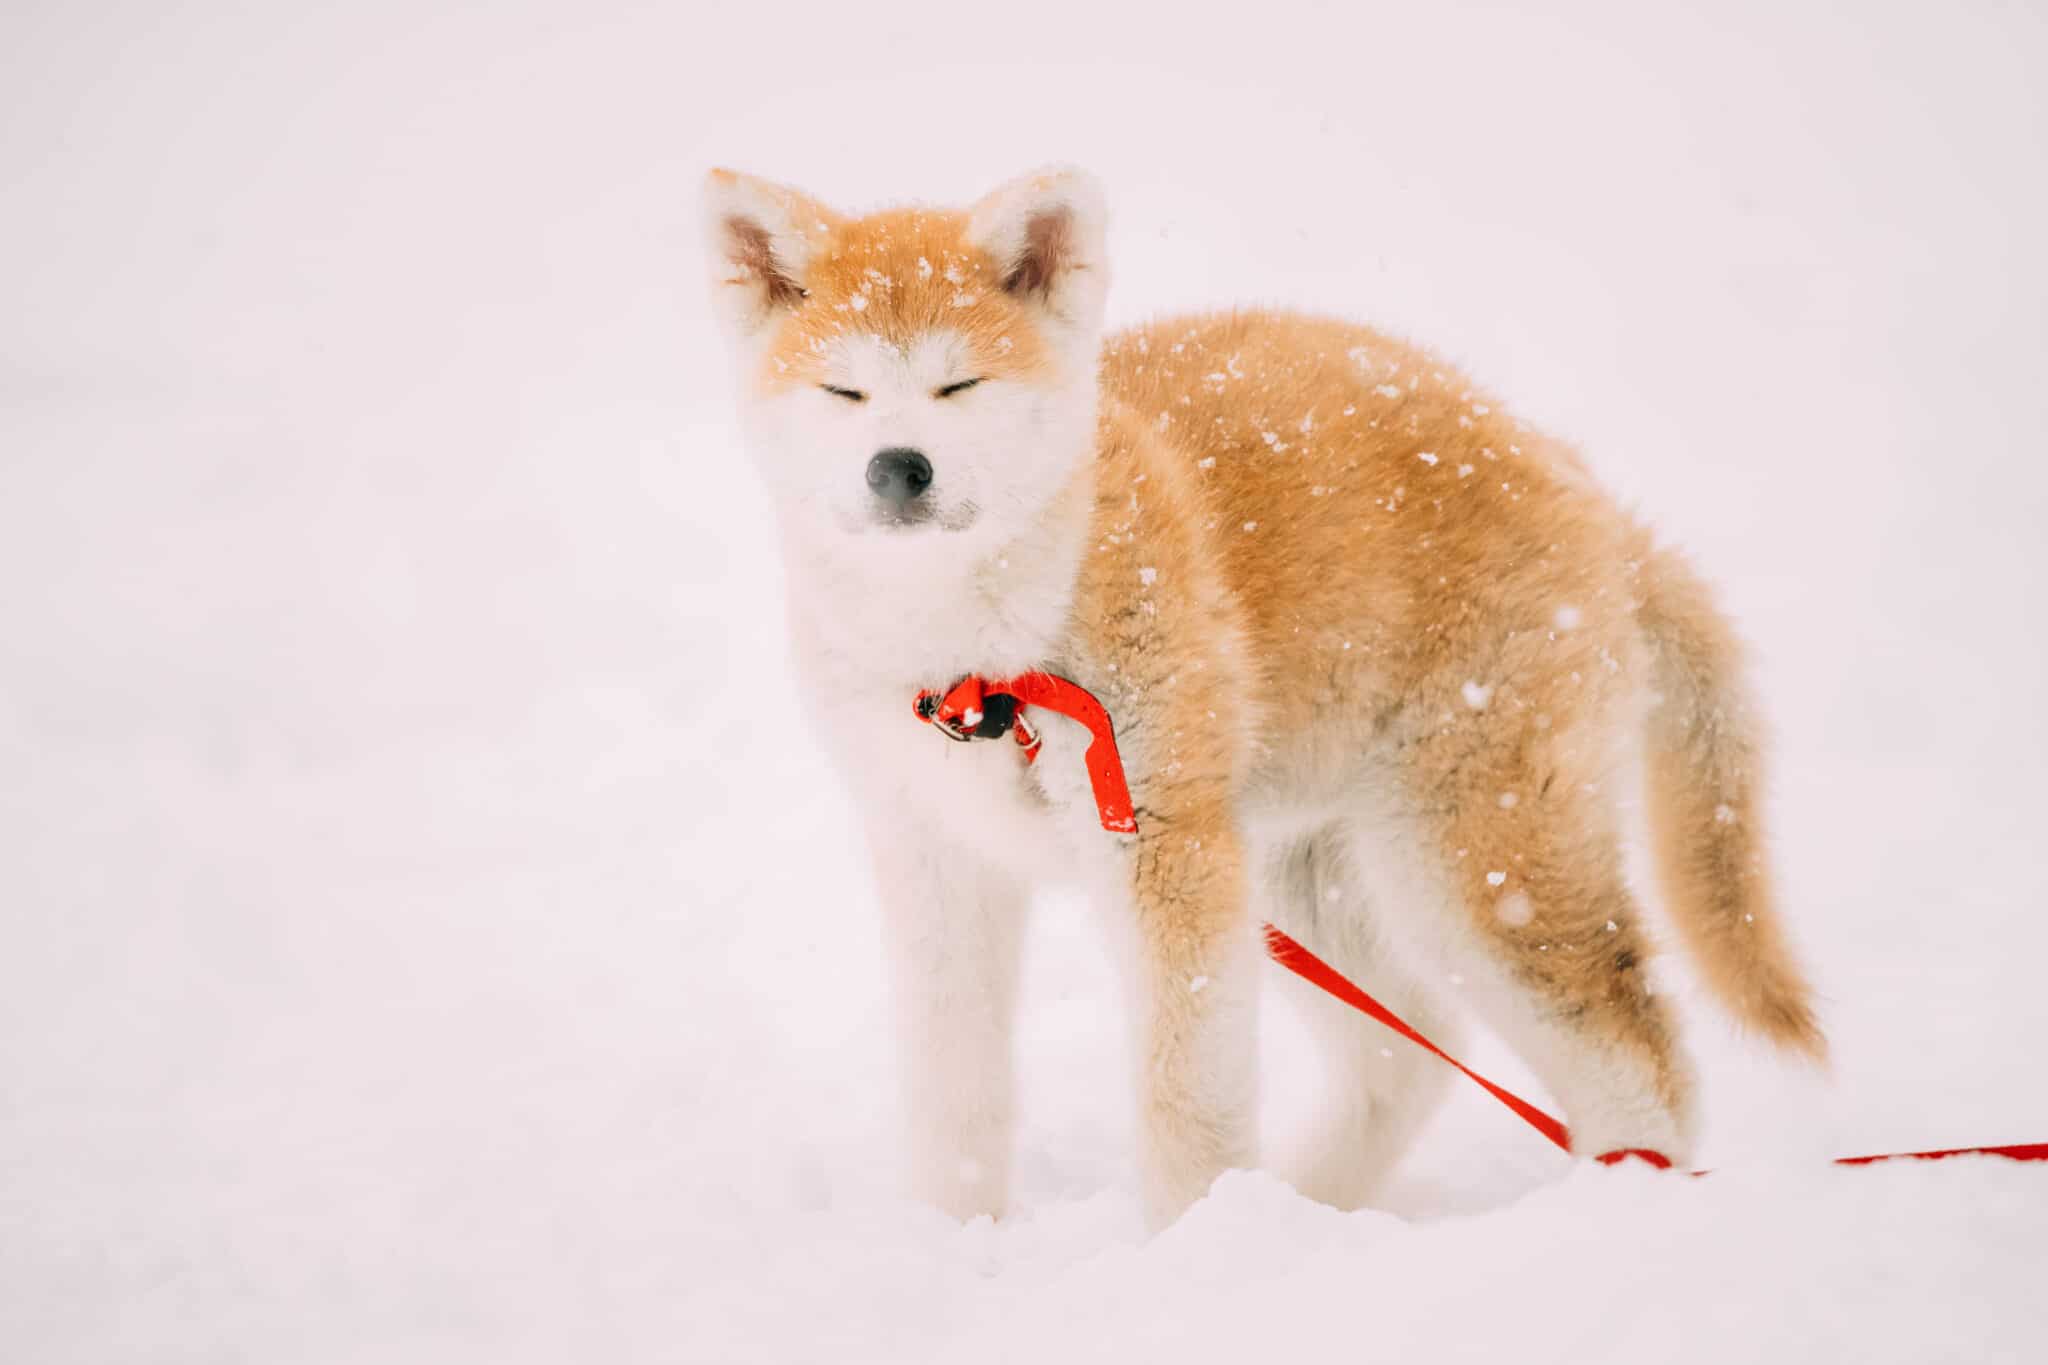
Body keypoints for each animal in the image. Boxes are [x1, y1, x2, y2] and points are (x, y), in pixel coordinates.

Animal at [704, 162, 1826, 1227]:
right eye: (841, 394)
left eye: (958, 385)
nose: (899, 469)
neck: (982, 660)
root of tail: (1576, 480)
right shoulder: (935, 854)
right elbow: (953, 1089)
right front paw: (953, 1244)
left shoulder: (1164, 853)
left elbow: (1185, 1106)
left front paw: (1191, 1254)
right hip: (1307, 876)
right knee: (1411, 1055)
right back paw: (1306, 1212)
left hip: (1466, 856)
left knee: (1632, 1050)